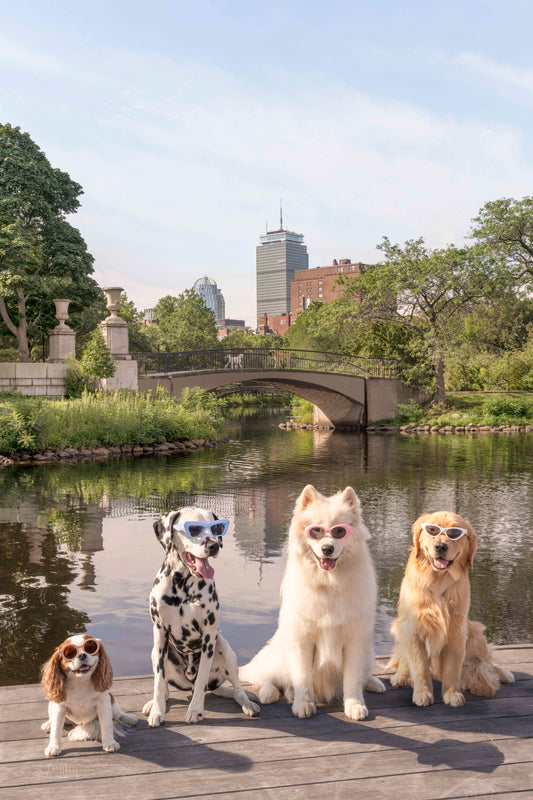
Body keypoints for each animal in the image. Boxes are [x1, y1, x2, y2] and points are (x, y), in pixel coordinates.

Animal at [141, 512, 258, 724]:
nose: (214, 545)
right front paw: (157, 711)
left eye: (216, 528)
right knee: (165, 689)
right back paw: (152, 703)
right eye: (194, 529)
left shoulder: (209, 636)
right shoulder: (160, 632)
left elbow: (202, 676)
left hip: (226, 649)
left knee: (236, 688)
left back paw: (248, 703)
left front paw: (195, 710)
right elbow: (159, 682)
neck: (182, 585)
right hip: (155, 652)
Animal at [239, 484, 384, 720]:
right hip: (280, 652)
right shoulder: (302, 639)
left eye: (339, 531)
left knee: (364, 674)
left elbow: (352, 679)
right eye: (316, 531)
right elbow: (302, 676)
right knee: (272, 679)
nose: (327, 549)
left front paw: (355, 705)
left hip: (369, 652)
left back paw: (374, 683)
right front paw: (303, 704)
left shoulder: (354, 640)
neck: (329, 584)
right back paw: (273, 694)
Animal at [388, 512, 512, 708]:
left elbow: (453, 667)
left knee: (487, 661)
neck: (438, 581)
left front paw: (451, 693)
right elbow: (420, 667)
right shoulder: (413, 629)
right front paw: (422, 692)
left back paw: (504, 673)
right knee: (403, 658)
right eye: (432, 530)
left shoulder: (456, 630)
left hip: (475, 633)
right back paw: (401, 676)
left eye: (454, 533)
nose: (440, 546)